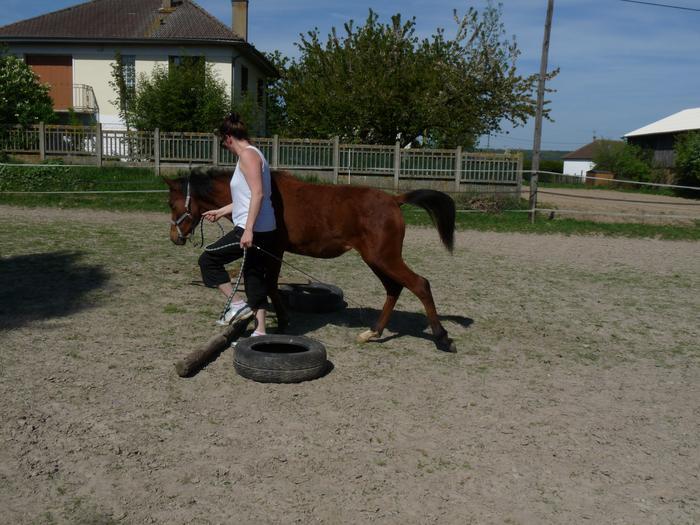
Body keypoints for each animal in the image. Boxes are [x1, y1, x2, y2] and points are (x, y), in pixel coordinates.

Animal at [165, 169, 460, 352]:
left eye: (171, 203)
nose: (174, 237)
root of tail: (394, 200)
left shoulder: (273, 248)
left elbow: (269, 285)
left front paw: (282, 320)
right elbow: (270, 285)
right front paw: (281, 318)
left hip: (384, 258)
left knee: (420, 284)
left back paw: (442, 339)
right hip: (377, 260)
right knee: (394, 289)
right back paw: (372, 333)